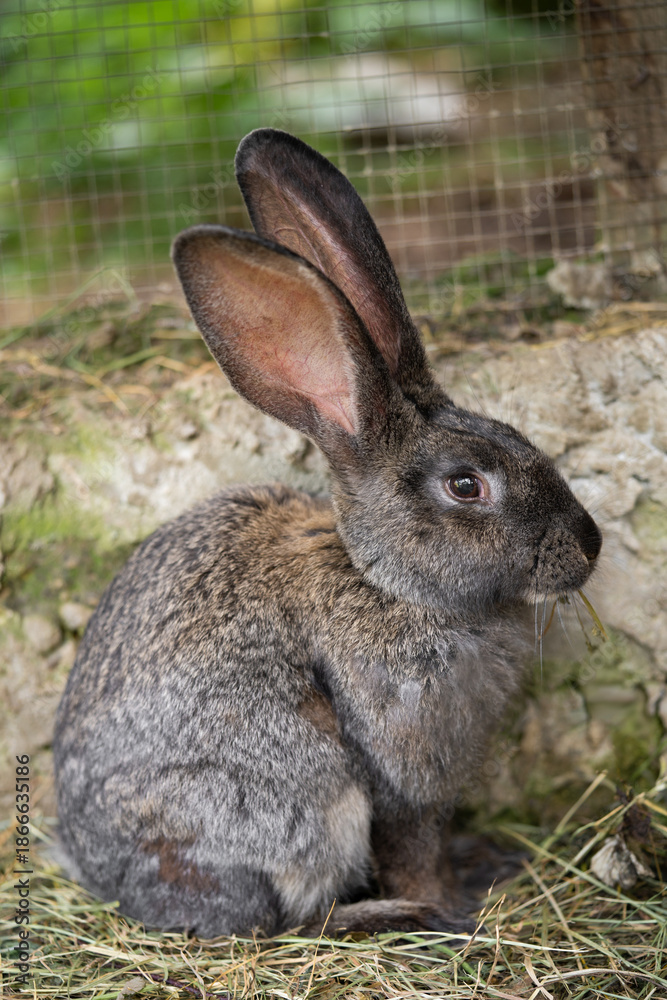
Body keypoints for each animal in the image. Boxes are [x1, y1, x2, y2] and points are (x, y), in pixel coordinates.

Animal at [53, 128, 602, 939]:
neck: (384, 581)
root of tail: (111, 884)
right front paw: (448, 903)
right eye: (465, 485)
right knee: (271, 919)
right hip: (292, 797)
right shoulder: (399, 763)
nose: (588, 546)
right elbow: (412, 841)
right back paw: (378, 911)